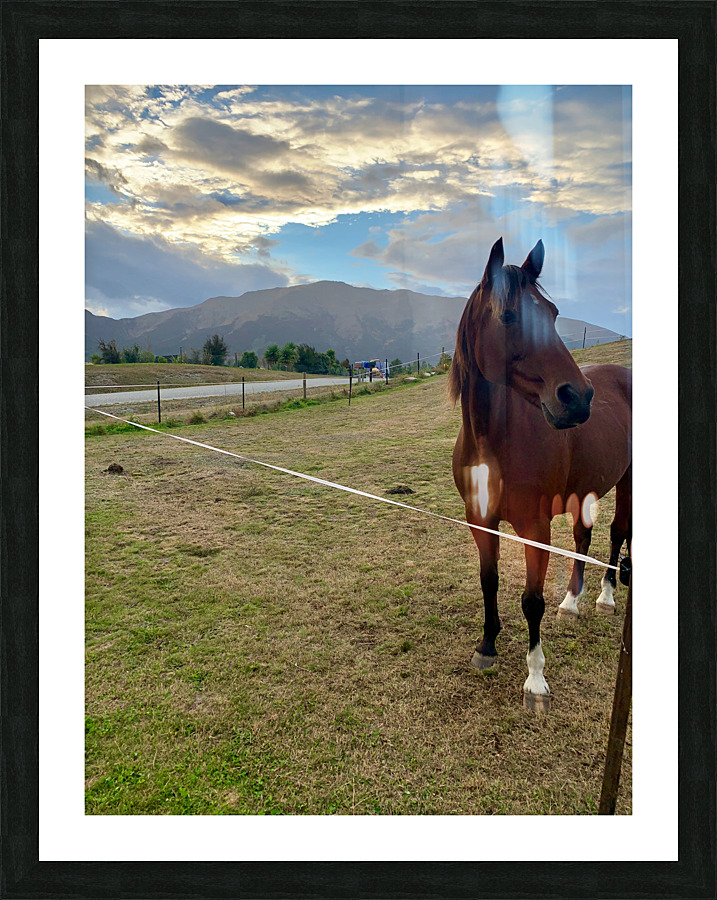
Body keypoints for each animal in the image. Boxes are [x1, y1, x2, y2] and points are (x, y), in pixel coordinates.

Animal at [449, 238, 631, 711]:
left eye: (551, 313)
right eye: (509, 316)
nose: (577, 397)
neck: (493, 443)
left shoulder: (535, 527)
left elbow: (532, 600)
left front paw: (535, 680)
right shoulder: (481, 521)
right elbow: (489, 581)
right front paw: (487, 646)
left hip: (628, 483)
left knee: (617, 534)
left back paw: (605, 596)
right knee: (584, 538)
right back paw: (572, 602)